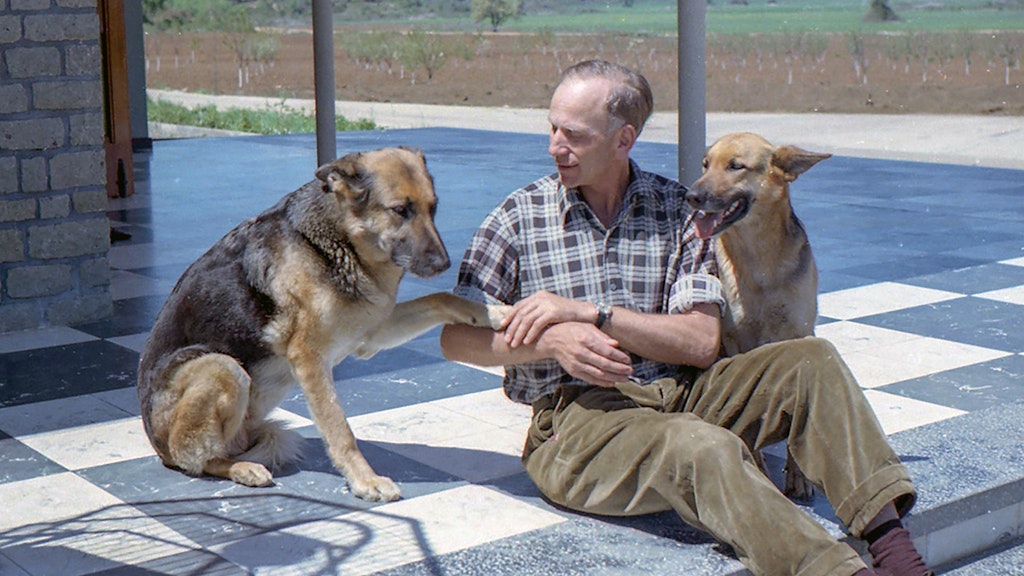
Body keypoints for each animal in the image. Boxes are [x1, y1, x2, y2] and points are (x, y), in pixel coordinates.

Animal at [138, 145, 505, 500]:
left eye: (434, 207)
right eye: (400, 210)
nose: (443, 263)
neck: (341, 242)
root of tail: (157, 445)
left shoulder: (372, 332)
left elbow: (441, 299)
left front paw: (493, 312)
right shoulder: (309, 358)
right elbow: (339, 429)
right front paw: (365, 481)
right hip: (222, 367)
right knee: (198, 458)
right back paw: (241, 468)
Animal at [684, 132, 827, 500]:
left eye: (736, 166)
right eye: (705, 164)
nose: (692, 196)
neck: (760, 261)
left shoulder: (799, 334)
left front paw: (799, 474)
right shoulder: (734, 341)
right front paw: (757, 464)